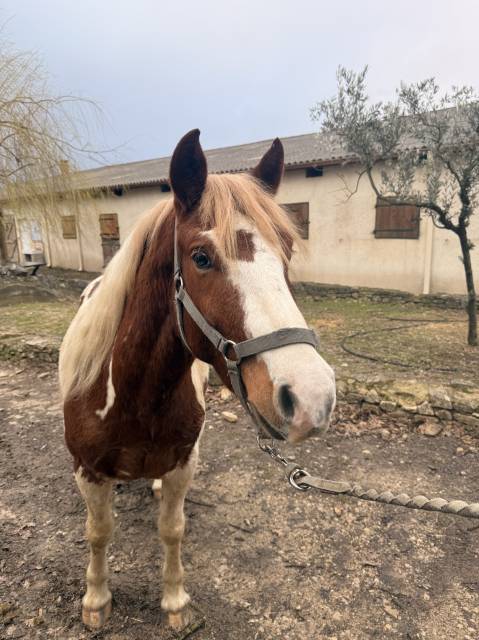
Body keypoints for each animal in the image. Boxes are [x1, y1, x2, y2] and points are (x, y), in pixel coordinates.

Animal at [59, 129, 336, 631]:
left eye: (286, 253)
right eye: (202, 257)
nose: (312, 398)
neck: (134, 398)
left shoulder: (182, 464)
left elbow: (172, 530)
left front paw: (175, 601)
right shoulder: (88, 471)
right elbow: (98, 533)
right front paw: (96, 598)